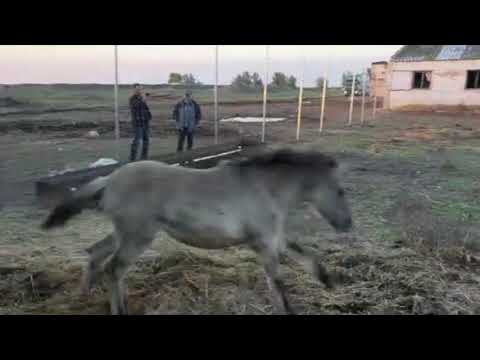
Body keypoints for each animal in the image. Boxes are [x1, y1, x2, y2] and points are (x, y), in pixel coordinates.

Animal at [42, 148, 352, 314]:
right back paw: (119, 308)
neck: (265, 188)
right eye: (340, 190)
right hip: (138, 235)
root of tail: (109, 180)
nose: (347, 224)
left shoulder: (273, 238)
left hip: (124, 233)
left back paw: (84, 295)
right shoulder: (264, 243)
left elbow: (307, 256)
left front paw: (330, 283)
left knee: (96, 254)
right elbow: (278, 284)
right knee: (114, 268)